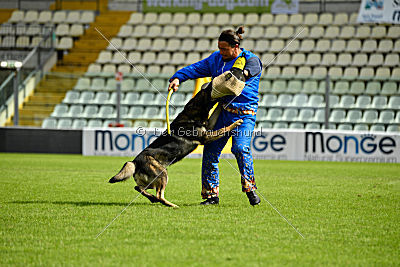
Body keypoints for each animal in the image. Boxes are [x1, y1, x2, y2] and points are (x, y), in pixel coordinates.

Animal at [108, 83, 242, 207]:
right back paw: (171, 205)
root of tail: (135, 161)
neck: (191, 115)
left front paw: (222, 106)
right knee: (158, 194)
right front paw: (235, 123)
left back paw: (153, 198)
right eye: (209, 92)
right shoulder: (206, 137)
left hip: (152, 181)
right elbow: (224, 128)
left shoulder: (208, 128)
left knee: (139, 188)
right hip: (162, 174)